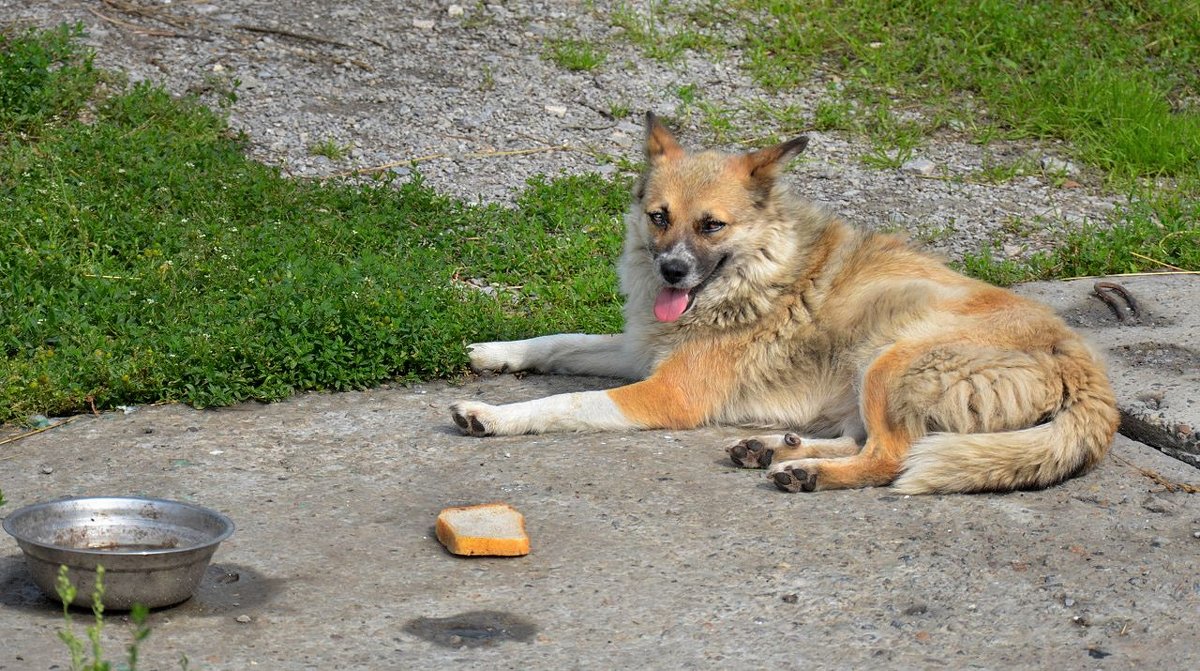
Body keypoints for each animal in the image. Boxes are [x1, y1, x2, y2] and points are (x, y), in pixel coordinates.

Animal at [446, 112, 1118, 494]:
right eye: (659, 217)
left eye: (712, 225)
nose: (671, 270)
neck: (759, 276)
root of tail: (1083, 364)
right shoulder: (640, 352)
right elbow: (562, 342)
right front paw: (496, 353)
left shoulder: (665, 393)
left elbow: (563, 402)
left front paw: (493, 415)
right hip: (866, 372)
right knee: (865, 439)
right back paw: (772, 449)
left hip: (889, 356)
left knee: (891, 456)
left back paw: (806, 472)